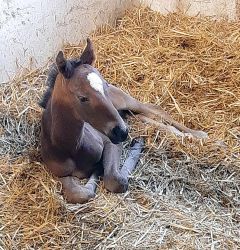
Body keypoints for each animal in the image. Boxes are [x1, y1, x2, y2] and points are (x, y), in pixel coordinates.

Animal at [40, 38, 207, 203]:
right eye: (82, 97)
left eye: (105, 86)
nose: (121, 132)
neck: (70, 147)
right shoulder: (58, 173)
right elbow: (79, 193)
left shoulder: (110, 142)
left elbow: (117, 180)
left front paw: (135, 146)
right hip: (126, 114)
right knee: (143, 116)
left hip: (125, 101)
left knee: (155, 110)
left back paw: (197, 135)